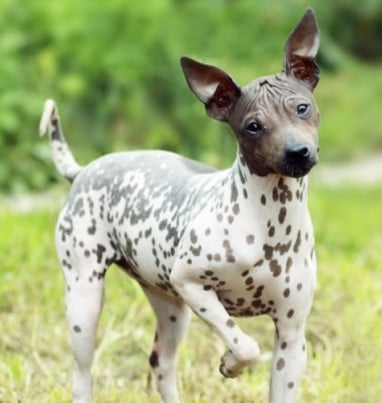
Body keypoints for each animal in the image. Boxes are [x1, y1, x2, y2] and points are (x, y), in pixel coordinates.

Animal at [39, 9, 320, 403]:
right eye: (253, 126)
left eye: (302, 108)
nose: (297, 152)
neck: (270, 223)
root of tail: (82, 170)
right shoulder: (191, 284)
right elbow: (247, 346)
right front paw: (230, 363)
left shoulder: (292, 339)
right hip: (85, 299)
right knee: (82, 374)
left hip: (170, 307)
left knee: (161, 363)